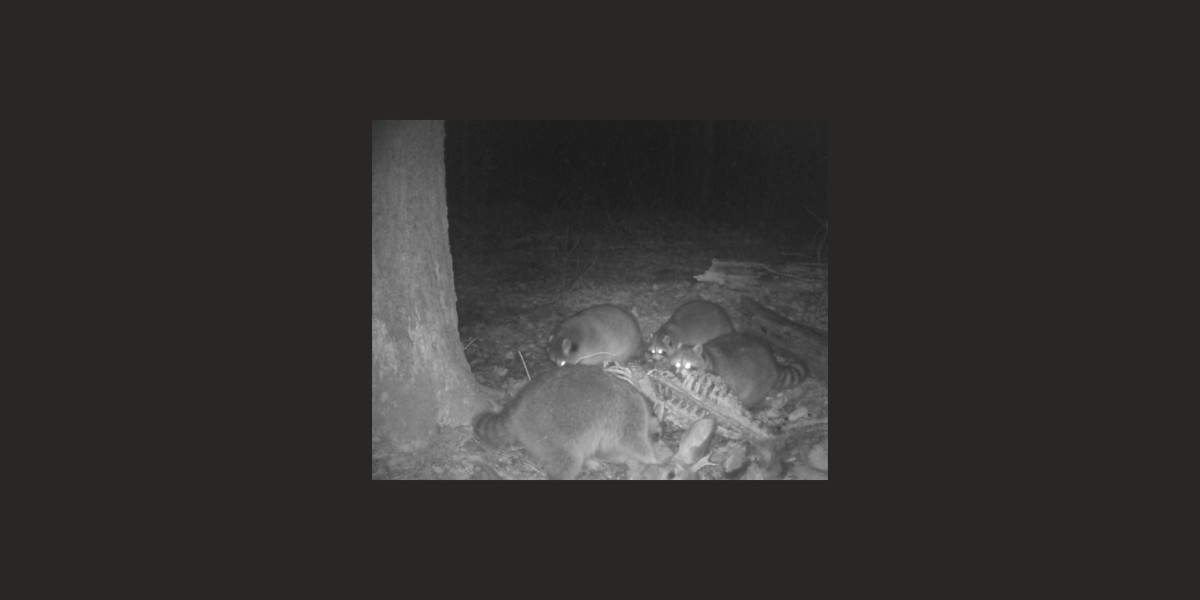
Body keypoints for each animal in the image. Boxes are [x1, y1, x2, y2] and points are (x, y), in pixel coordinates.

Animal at [470, 362, 657, 480]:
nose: (658, 439)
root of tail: (517, 409)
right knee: (568, 461)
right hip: (551, 433)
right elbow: (635, 443)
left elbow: (606, 449)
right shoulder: (629, 415)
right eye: (658, 435)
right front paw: (653, 459)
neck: (644, 402)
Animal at [676, 331, 806, 410]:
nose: (678, 374)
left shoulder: (715, 375)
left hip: (759, 383)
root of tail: (774, 363)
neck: (707, 353)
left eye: (688, 365)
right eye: (677, 364)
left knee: (749, 398)